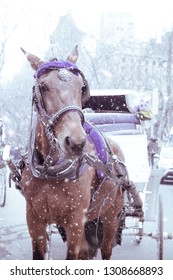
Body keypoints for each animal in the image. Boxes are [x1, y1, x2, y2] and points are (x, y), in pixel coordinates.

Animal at [19, 44, 126, 260]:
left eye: (81, 87)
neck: (50, 171)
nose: (76, 142)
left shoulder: (75, 222)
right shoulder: (34, 220)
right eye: (44, 87)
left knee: (106, 249)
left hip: (111, 216)